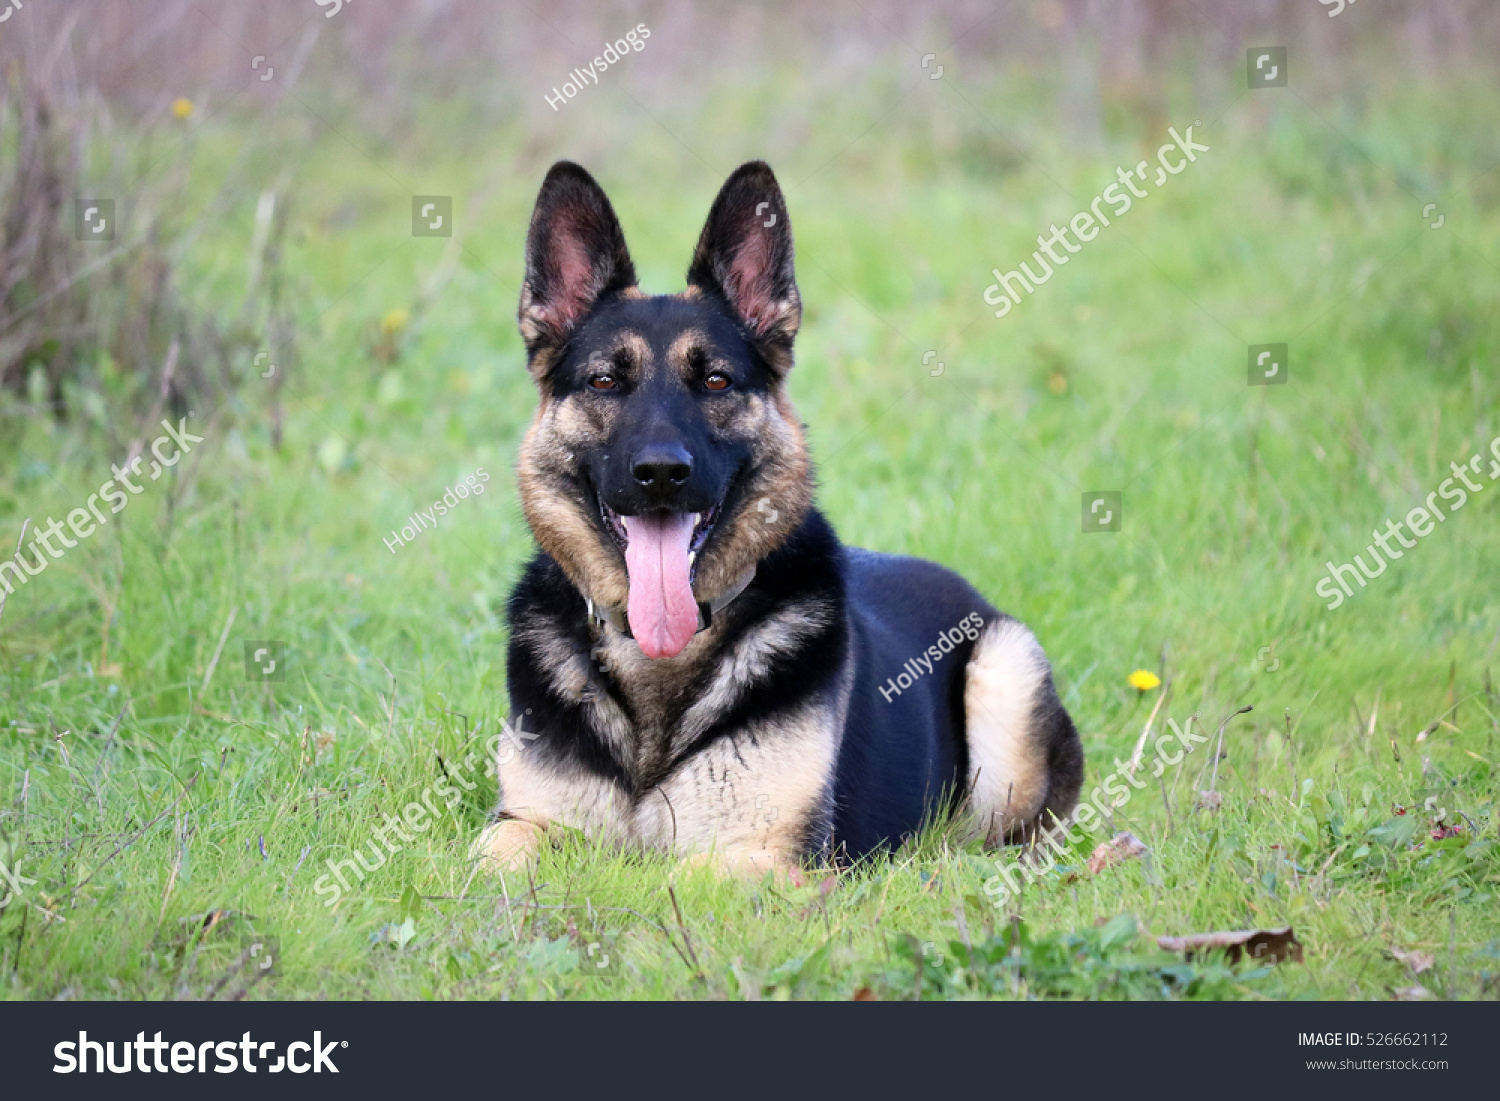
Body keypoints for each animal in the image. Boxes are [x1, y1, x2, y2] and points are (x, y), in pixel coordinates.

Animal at [474, 162, 1086, 882]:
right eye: (604, 382)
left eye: (714, 381)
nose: (661, 472)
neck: (659, 656)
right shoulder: (523, 822)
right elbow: (496, 854)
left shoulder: (767, 852)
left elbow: (664, 878)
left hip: (1004, 676)